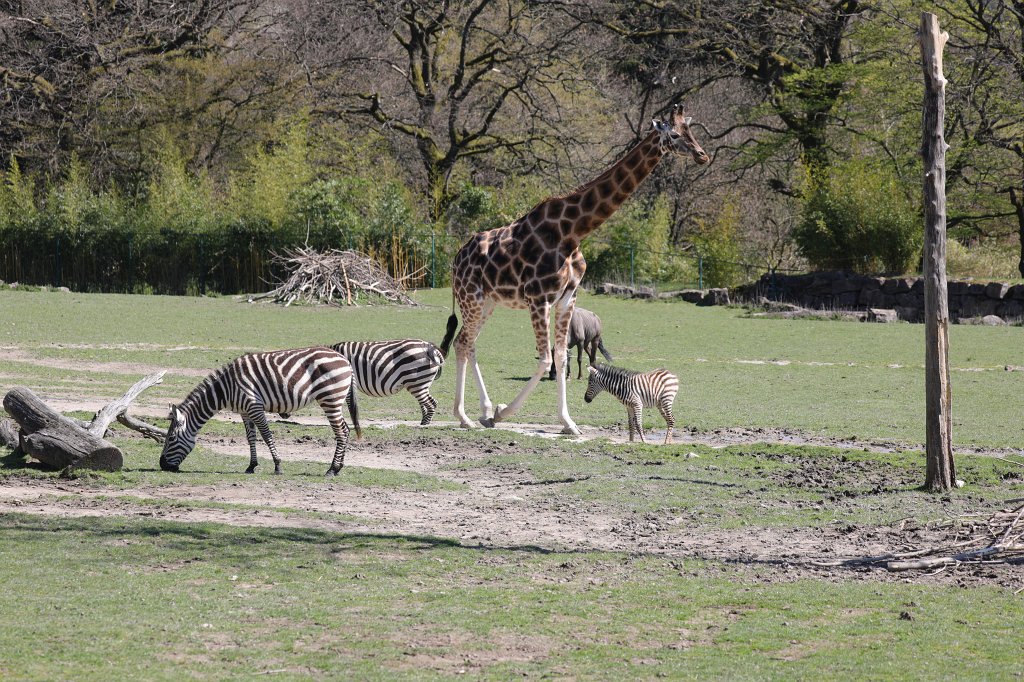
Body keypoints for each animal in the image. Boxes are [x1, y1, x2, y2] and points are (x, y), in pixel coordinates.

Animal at [159, 347, 361, 476]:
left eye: (171, 438)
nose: (162, 465)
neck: (225, 389)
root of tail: (345, 360)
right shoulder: (244, 411)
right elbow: (251, 437)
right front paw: (251, 466)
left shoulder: (254, 406)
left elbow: (266, 435)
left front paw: (278, 466)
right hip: (334, 400)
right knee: (346, 429)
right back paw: (339, 467)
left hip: (330, 398)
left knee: (341, 432)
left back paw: (332, 469)